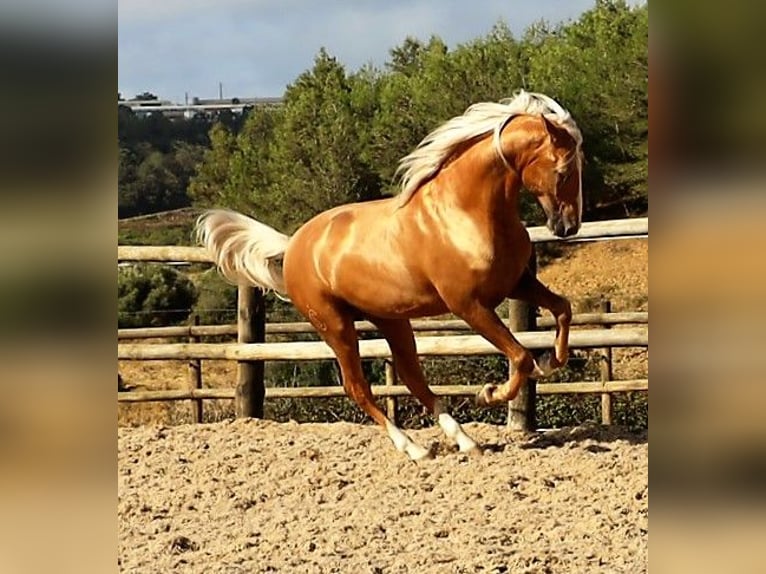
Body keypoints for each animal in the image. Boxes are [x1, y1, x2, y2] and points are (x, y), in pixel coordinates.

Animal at [196, 92, 584, 466]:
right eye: (564, 171)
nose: (567, 227)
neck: (465, 212)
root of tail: (293, 246)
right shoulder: (470, 306)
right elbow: (520, 357)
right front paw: (489, 394)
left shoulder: (517, 283)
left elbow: (562, 310)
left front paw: (551, 361)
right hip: (335, 326)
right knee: (358, 388)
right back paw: (413, 448)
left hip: (390, 319)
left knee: (413, 379)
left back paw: (465, 442)